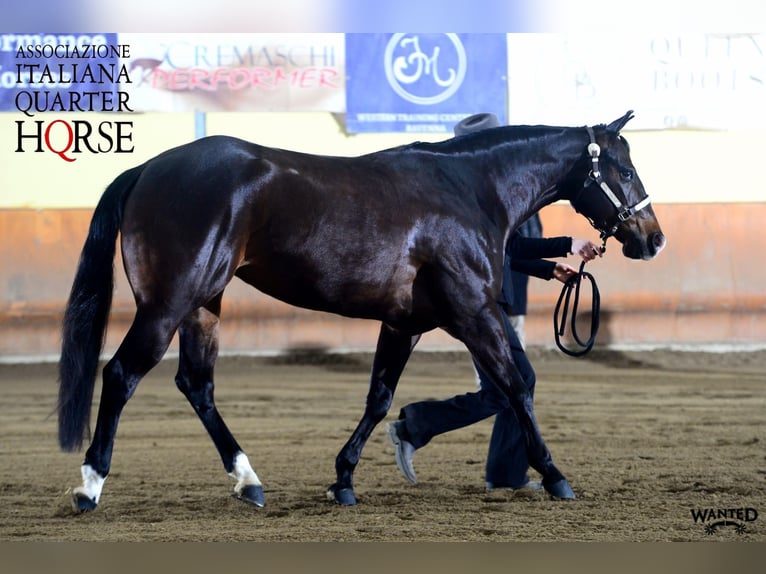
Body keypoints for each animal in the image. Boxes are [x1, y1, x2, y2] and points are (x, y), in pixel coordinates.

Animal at [57, 110, 666, 512]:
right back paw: (89, 485)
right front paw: (556, 475)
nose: (652, 239)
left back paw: (249, 481)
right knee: (121, 374)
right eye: (624, 169)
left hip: (204, 304)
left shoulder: (404, 323)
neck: (468, 191)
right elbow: (517, 387)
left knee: (196, 384)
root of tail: (146, 170)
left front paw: (344, 479)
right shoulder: (474, 312)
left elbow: (379, 399)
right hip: (169, 304)